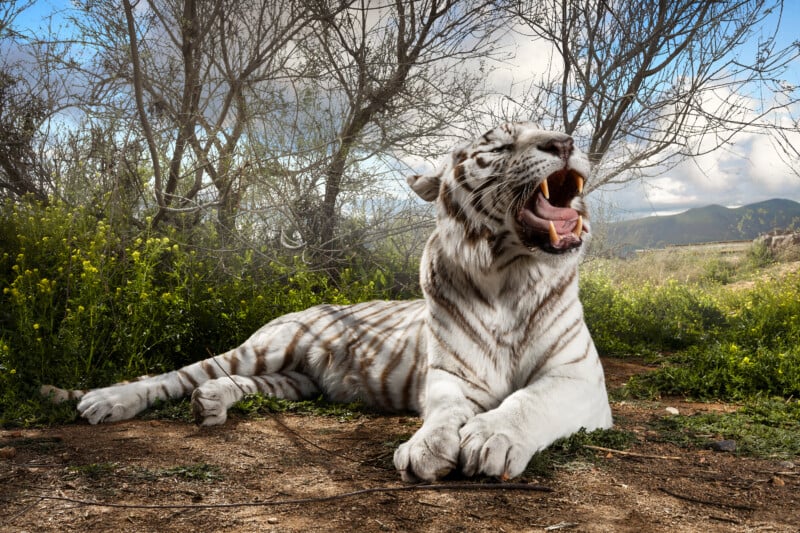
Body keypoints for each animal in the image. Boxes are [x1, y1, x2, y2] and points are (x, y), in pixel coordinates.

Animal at [42, 122, 612, 482]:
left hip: (295, 380)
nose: (565, 141)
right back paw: (106, 402)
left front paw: (490, 438)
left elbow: (527, 400)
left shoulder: (575, 377)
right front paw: (426, 447)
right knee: (175, 375)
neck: (510, 272)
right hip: (262, 349)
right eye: (498, 146)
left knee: (233, 385)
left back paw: (210, 403)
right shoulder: (452, 376)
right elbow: (446, 414)